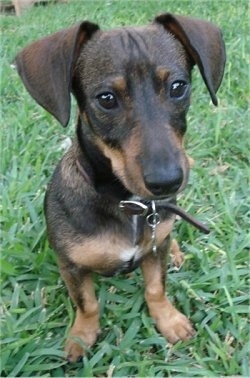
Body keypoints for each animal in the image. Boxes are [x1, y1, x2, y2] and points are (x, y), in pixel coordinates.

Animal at [16, 11, 227, 360]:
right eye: (106, 99)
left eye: (178, 87)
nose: (167, 181)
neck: (128, 203)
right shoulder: (71, 267)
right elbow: (87, 304)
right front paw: (81, 337)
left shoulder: (154, 252)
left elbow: (155, 287)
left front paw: (169, 320)